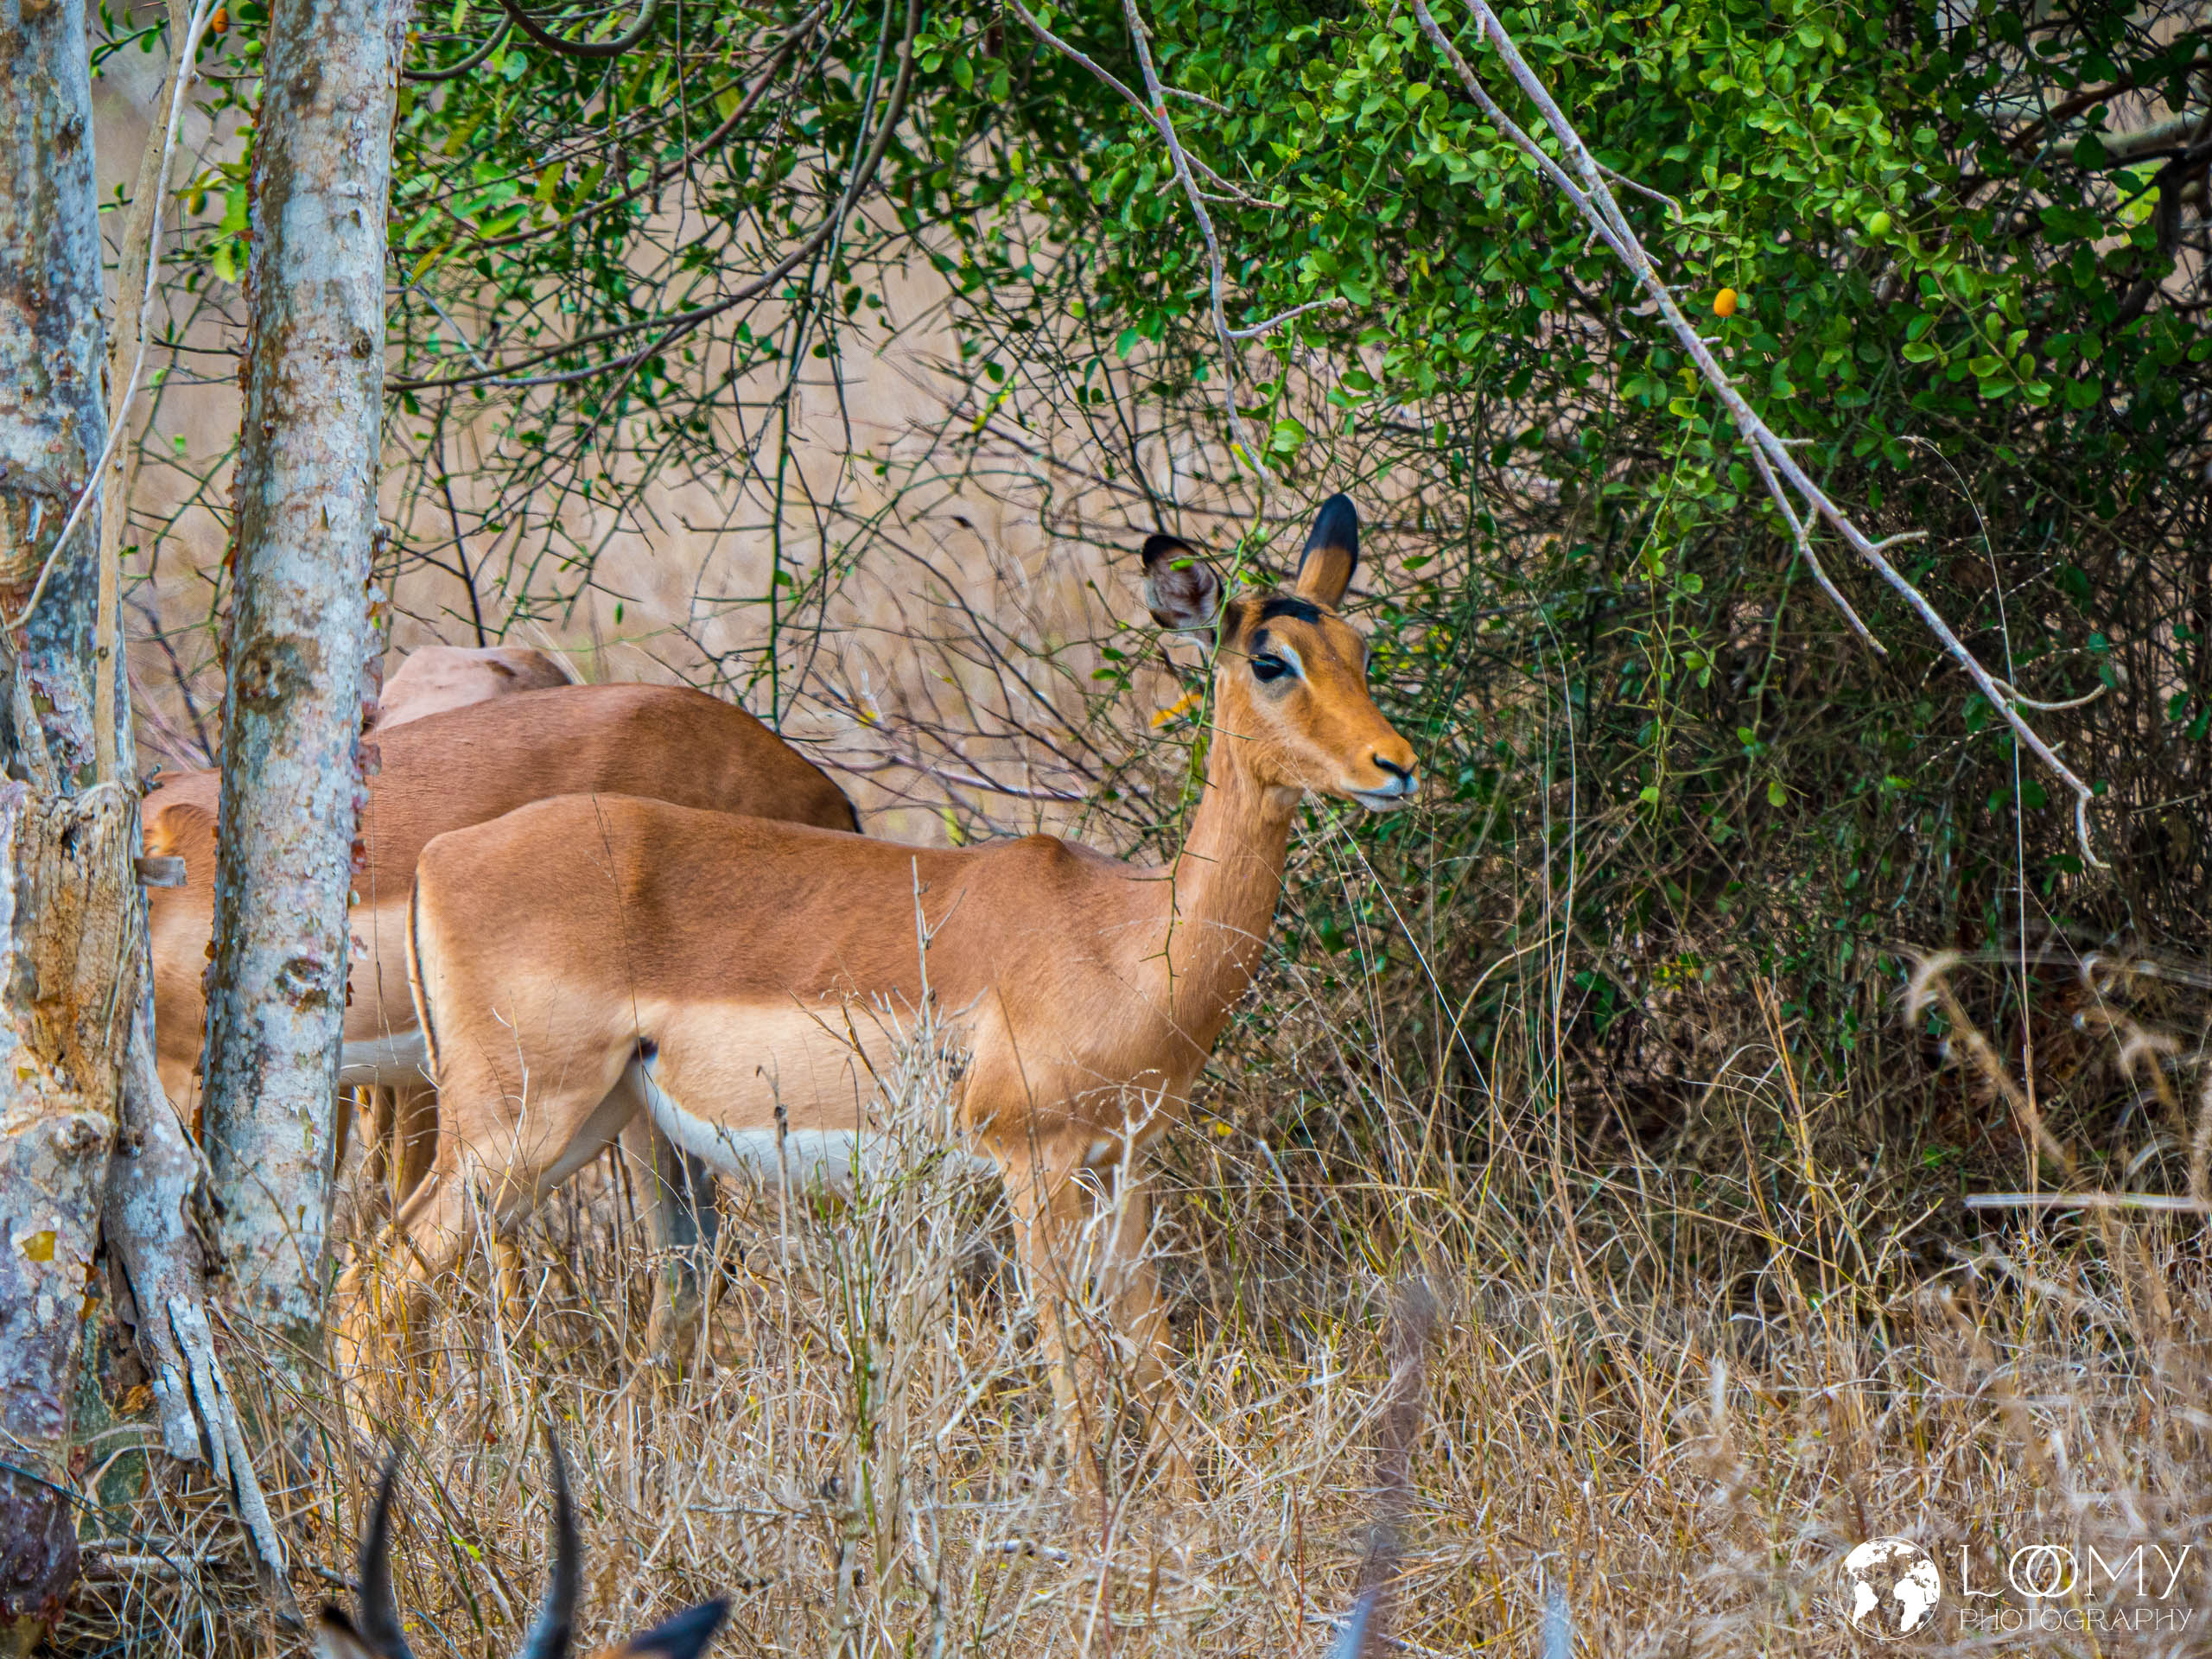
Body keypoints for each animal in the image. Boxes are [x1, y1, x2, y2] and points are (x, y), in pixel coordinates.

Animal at [364, 495, 1415, 1485]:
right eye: (1271, 659)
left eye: (1358, 646)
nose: (1395, 766)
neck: (1123, 937)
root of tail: (435, 860)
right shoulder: (1033, 1168)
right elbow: (1073, 1368)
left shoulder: (1120, 1169)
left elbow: (1152, 1359)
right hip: (510, 1128)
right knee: (375, 1284)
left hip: (588, 1125)